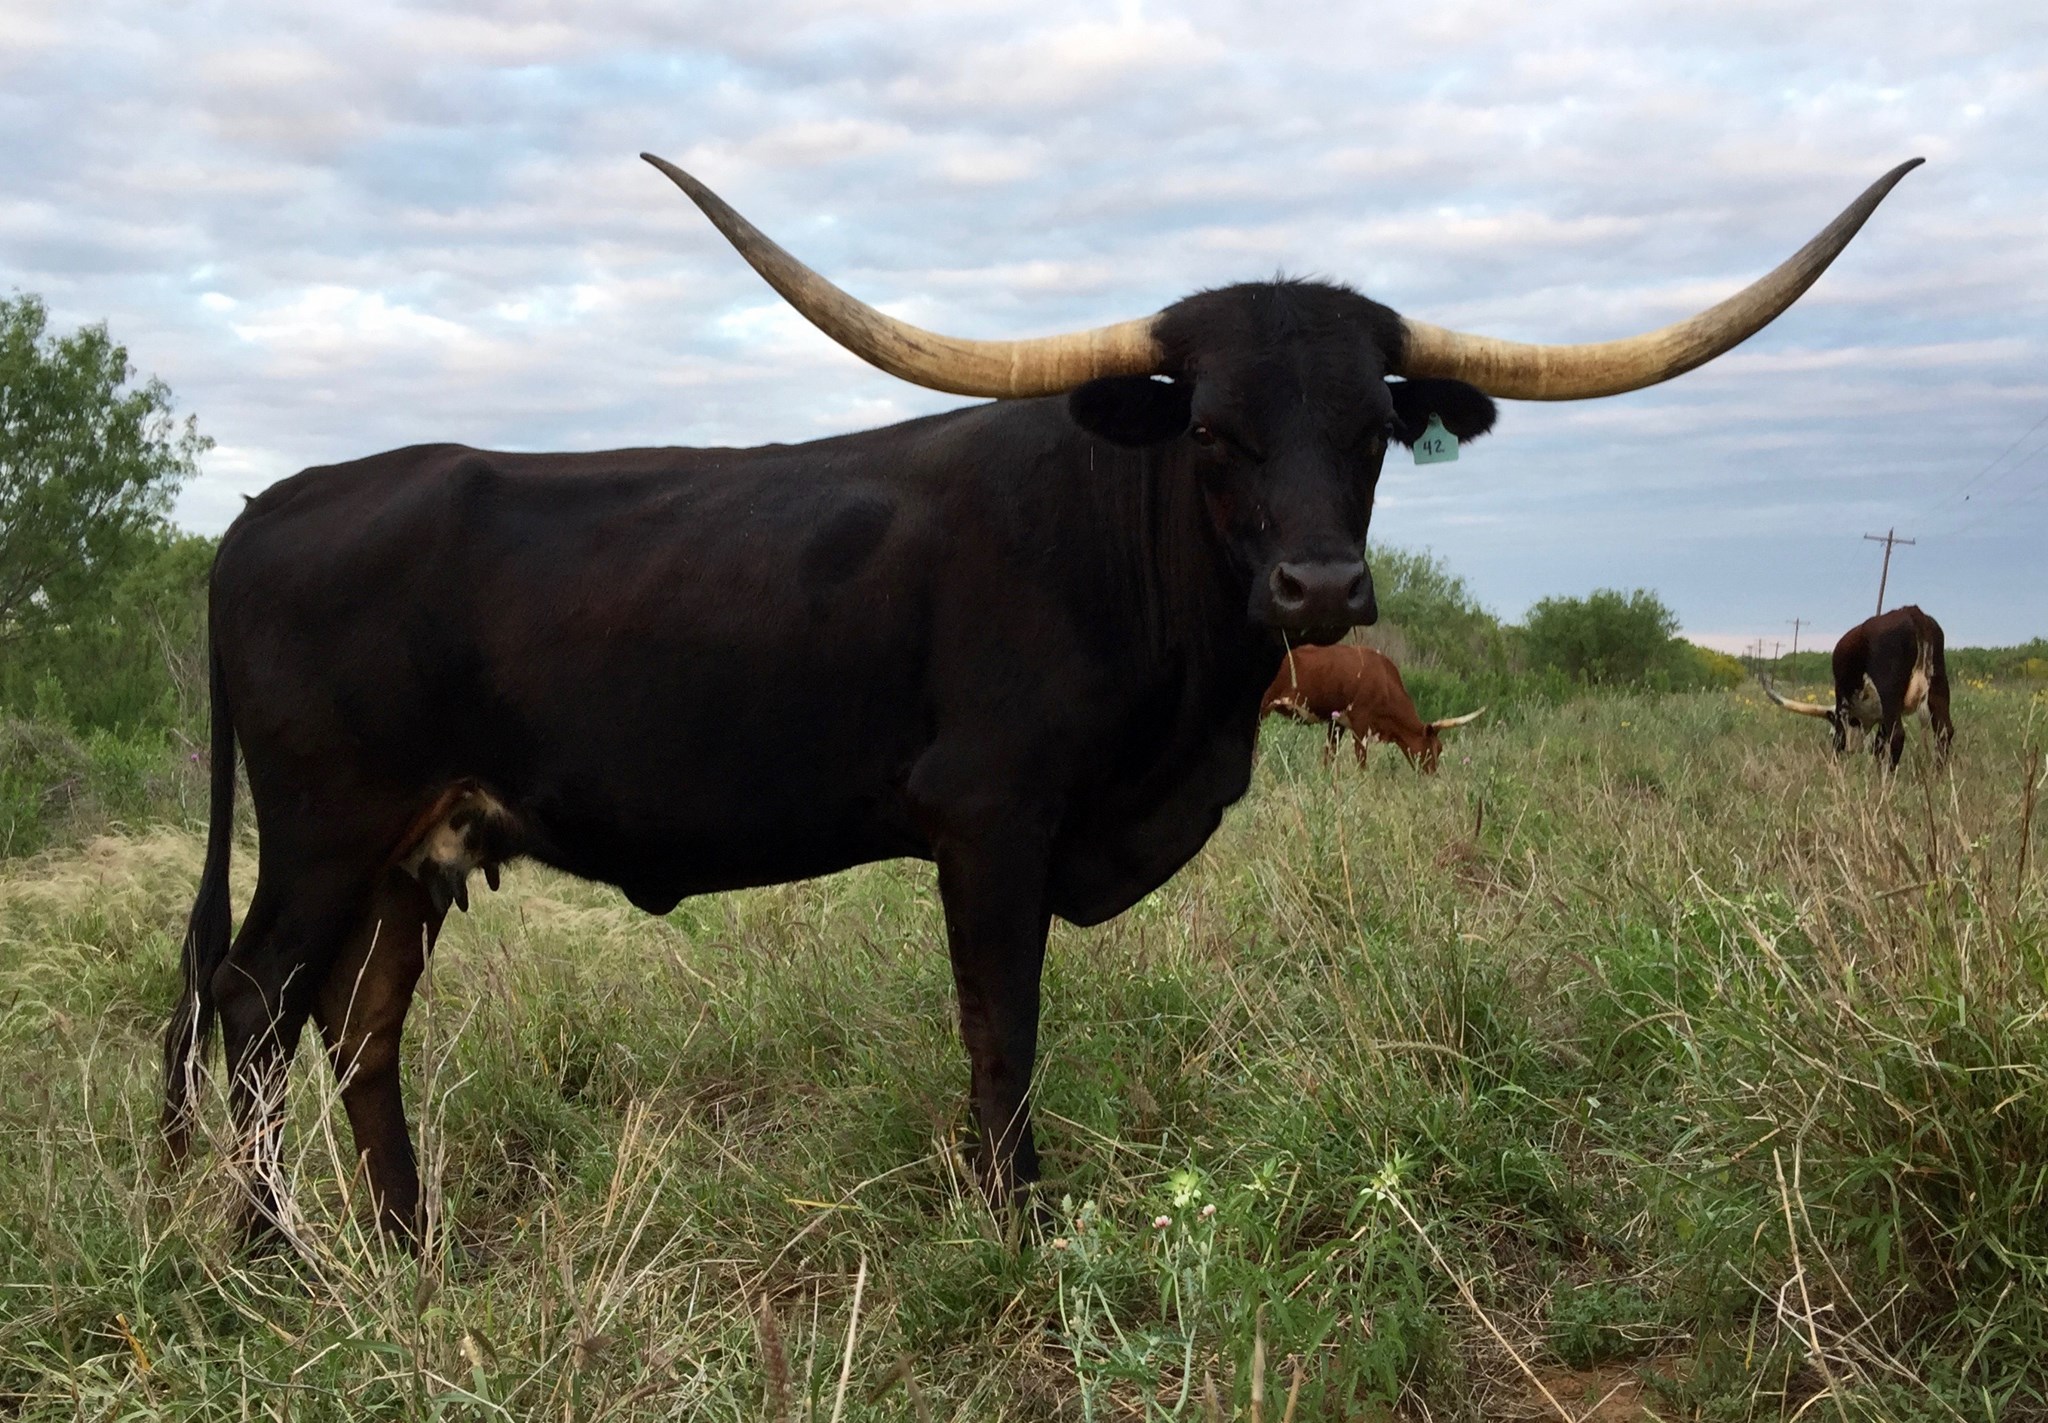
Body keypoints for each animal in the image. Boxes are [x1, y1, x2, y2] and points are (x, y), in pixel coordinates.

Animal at [1261, 644, 1484, 772]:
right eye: (1438, 747)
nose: (1432, 776)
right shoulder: (1361, 722)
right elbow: (1361, 760)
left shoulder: (1337, 722)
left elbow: (1330, 754)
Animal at [1762, 605, 1953, 768]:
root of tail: (1911, 611)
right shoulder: (1880, 715)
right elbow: (1878, 744)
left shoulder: (1843, 704)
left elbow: (1841, 739)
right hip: (1939, 685)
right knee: (1944, 732)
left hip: (1889, 688)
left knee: (1897, 734)